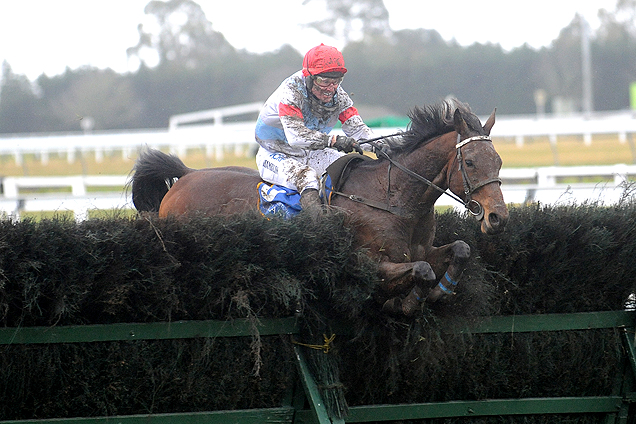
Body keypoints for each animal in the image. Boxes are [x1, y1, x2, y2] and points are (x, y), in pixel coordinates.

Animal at [132, 100, 510, 314]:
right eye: (471, 162)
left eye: (499, 161)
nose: (497, 217)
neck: (393, 198)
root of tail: (186, 175)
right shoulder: (367, 262)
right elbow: (421, 270)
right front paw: (404, 301)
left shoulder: (423, 248)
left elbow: (459, 249)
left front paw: (440, 294)